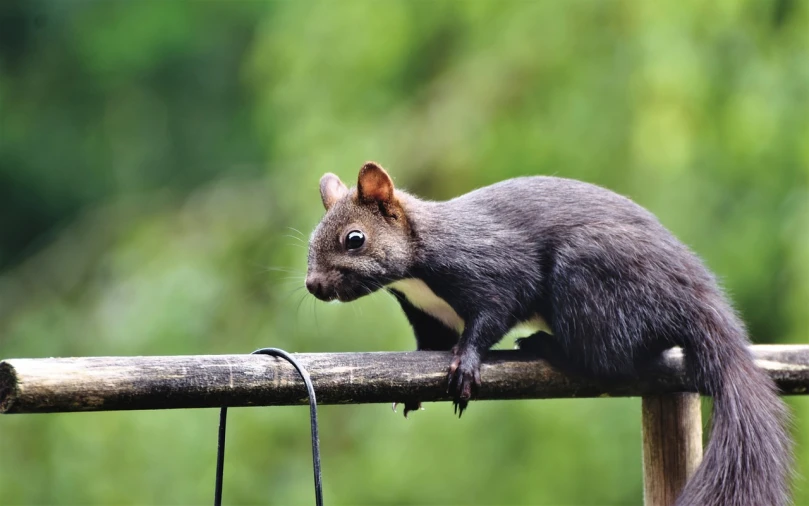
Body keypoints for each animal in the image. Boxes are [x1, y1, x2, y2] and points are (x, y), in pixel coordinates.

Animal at [306, 162, 792, 506]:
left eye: (355, 239)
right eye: (311, 241)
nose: (313, 285)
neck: (416, 273)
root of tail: (695, 294)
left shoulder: (496, 269)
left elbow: (490, 318)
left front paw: (467, 364)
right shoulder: (426, 315)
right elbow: (429, 347)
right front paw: (411, 388)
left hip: (591, 277)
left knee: (612, 359)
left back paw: (548, 346)